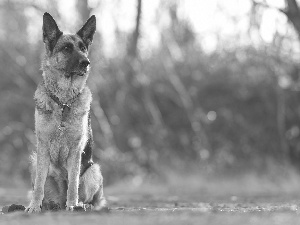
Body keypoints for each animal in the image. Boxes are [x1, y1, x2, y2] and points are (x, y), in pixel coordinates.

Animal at [25, 12, 106, 213]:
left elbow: (73, 183)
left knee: (91, 198)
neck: (63, 102)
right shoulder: (43, 148)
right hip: (34, 160)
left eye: (83, 48)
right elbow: (39, 184)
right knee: (45, 191)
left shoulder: (76, 151)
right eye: (67, 48)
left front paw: (72, 206)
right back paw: (49, 204)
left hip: (94, 170)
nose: (86, 63)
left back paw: (81, 204)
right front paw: (34, 206)